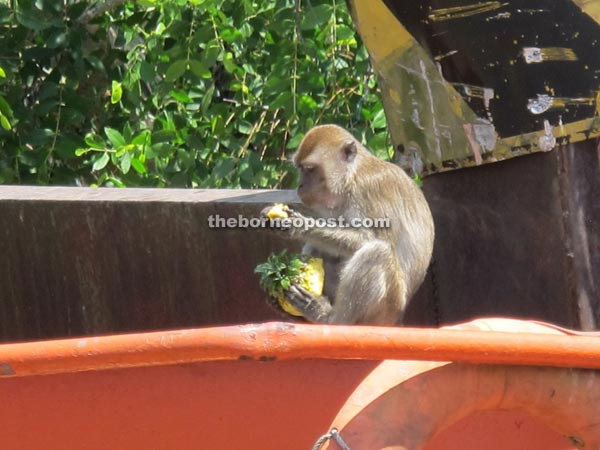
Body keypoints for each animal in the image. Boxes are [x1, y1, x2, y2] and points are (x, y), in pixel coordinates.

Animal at [266, 125, 432, 326]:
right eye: (300, 169)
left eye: (309, 169)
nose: (300, 186)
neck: (352, 176)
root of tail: (396, 321)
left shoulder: (370, 191)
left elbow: (368, 238)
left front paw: (299, 224)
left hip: (387, 309)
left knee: (377, 252)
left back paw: (328, 318)